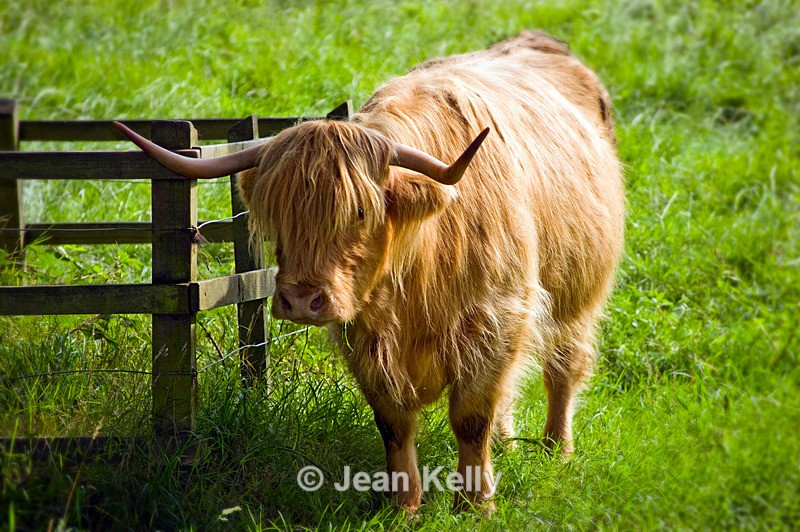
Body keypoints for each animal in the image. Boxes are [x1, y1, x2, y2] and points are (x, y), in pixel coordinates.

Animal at [114, 31, 624, 514]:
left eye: (361, 211)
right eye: (278, 213)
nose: (301, 300)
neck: (417, 271)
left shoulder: (495, 318)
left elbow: (471, 418)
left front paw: (476, 505)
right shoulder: (364, 337)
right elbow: (393, 423)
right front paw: (404, 506)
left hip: (576, 296)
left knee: (563, 368)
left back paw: (557, 449)